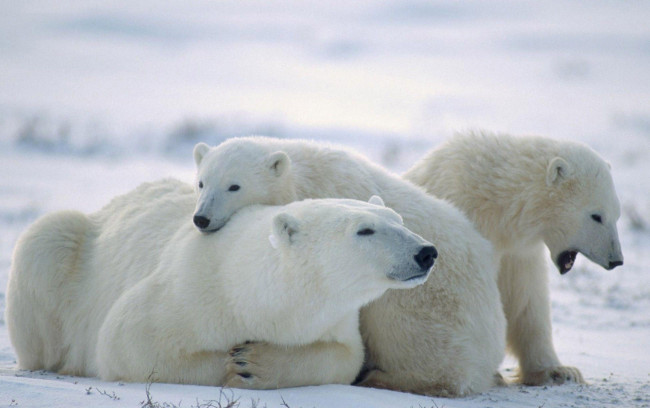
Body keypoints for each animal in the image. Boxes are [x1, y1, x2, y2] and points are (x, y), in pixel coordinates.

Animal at [6, 180, 436, 388]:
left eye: (397, 219)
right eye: (365, 230)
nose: (426, 252)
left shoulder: (334, 319)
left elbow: (344, 357)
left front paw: (254, 364)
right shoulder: (188, 292)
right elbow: (127, 343)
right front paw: (233, 363)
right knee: (47, 238)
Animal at [190, 136, 504, 396]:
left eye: (234, 186)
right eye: (201, 182)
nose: (201, 218)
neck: (302, 177)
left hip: (434, 308)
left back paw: (382, 378)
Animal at [404, 131, 624, 386]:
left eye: (617, 215)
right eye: (596, 216)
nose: (616, 260)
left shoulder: (518, 253)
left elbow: (527, 301)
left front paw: (559, 371)